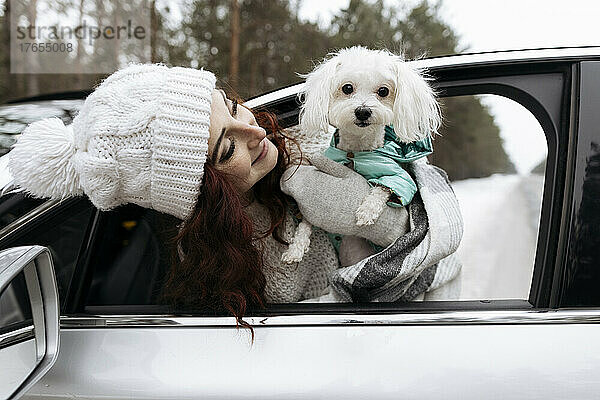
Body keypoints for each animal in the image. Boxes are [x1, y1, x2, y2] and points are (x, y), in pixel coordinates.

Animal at [282, 47, 440, 264]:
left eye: (383, 91)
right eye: (347, 88)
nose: (363, 111)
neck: (356, 151)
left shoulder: (400, 177)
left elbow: (385, 187)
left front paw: (367, 210)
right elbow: (306, 222)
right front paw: (296, 248)